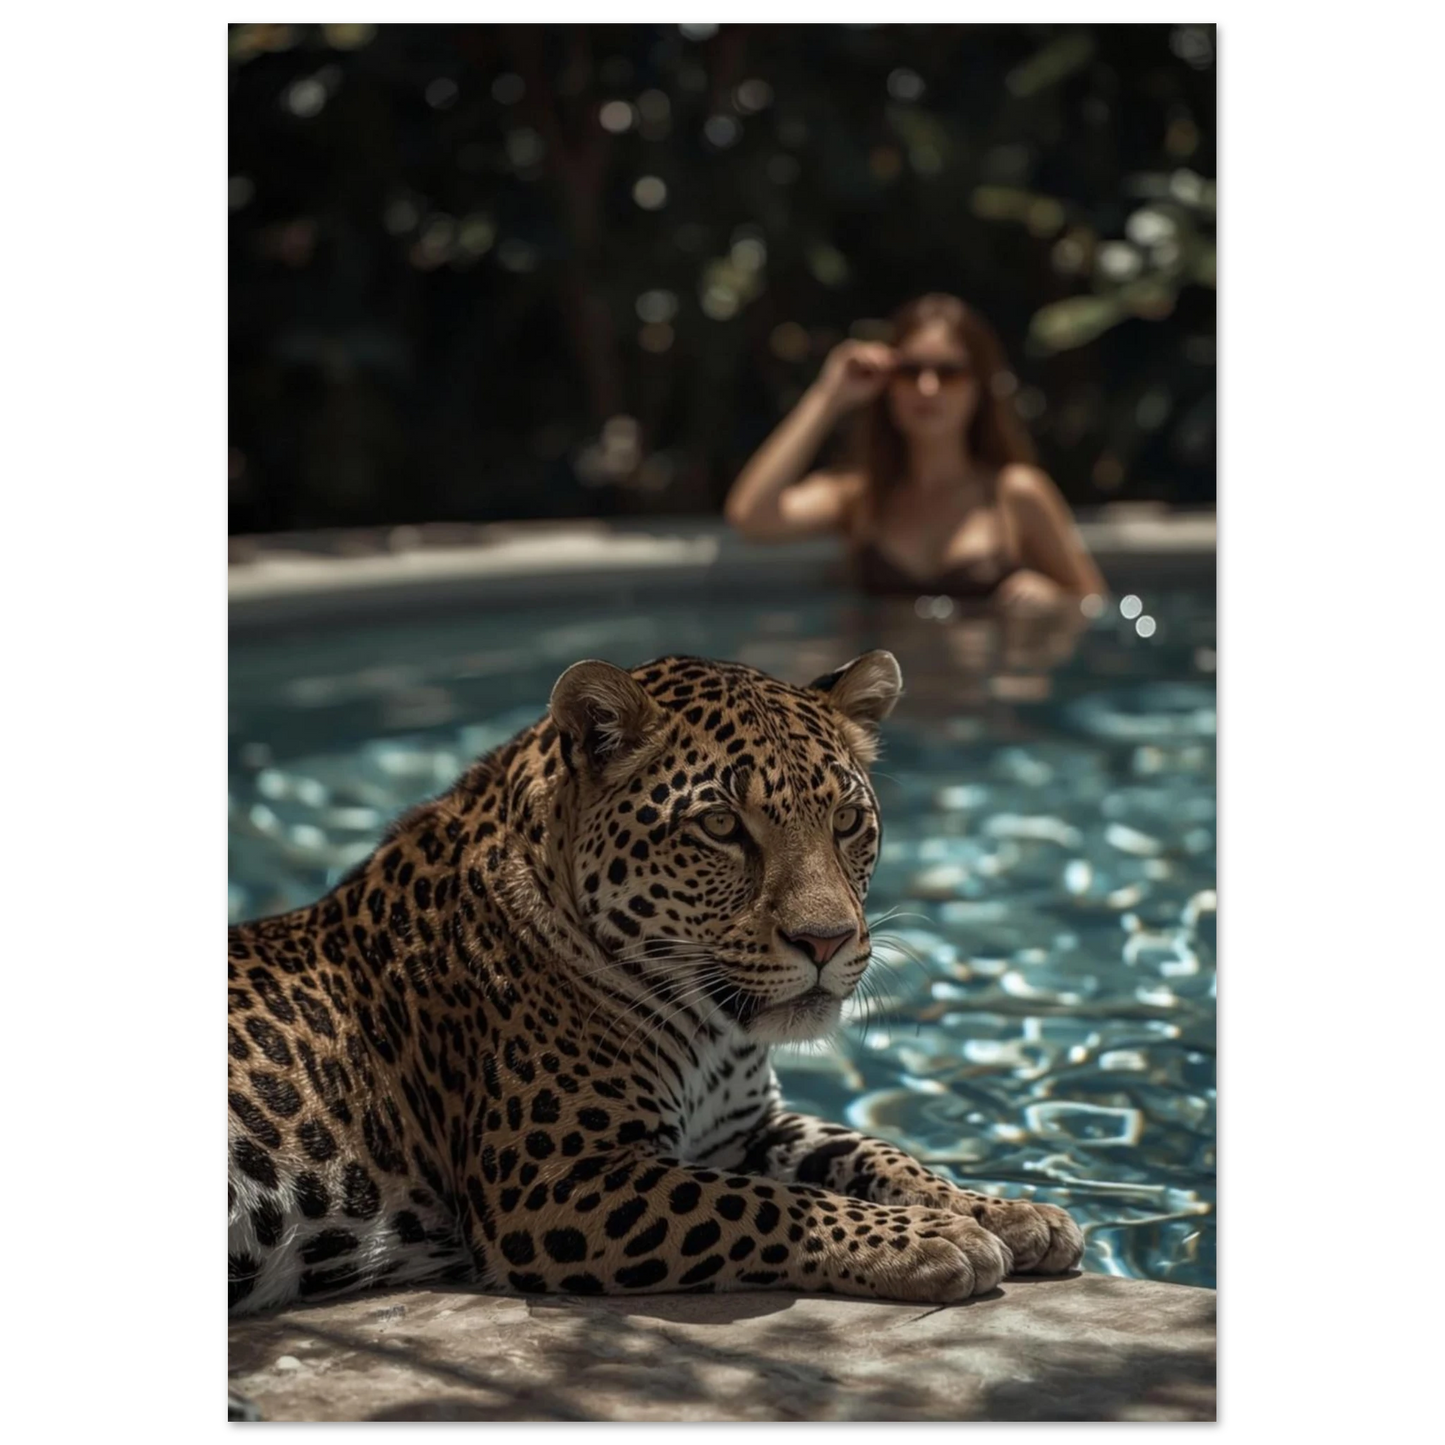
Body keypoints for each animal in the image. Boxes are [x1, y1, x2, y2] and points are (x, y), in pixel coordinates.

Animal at [227, 650, 1083, 1322]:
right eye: (721, 827)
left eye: (845, 819)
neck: (712, 1028)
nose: (826, 939)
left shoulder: (742, 1128)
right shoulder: (552, 1182)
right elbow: (761, 1203)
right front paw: (934, 1239)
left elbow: (869, 1149)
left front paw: (1005, 1210)